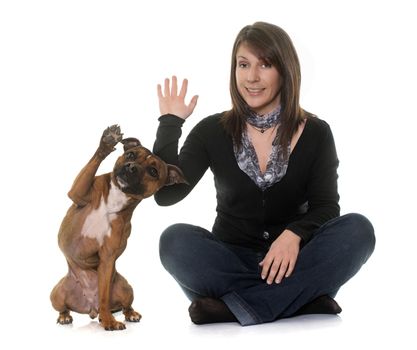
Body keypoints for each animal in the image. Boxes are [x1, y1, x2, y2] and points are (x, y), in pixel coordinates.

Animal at [49, 125, 184, 330]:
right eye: (130, 154)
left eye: (153, 171)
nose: (131, 166)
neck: (117, 196)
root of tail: (90, 307)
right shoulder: (77, 192)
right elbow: (90, 167)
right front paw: (106, 143)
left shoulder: (107, 259)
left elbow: (104, 296)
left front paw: (109, 320)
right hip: (56, 293)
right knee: (63, 308)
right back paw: (65, 317)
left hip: (125, 287)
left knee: (123, 304)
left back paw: (129, 314)